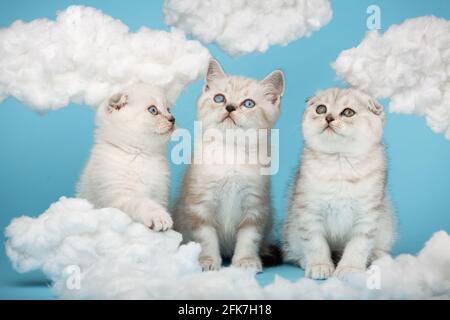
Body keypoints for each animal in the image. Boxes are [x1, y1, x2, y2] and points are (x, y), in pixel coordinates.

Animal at [77, 84, 176, 231]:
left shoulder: (161, 194)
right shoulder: (119, 196)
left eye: (168, 109)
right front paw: (160, 217)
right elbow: (142, 203)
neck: (141, 156)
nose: (172, 118)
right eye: (153, 110)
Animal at [173, 59, 284, 270]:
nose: (230, 107)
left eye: (248, 104)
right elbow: (206, 237)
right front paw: (207, 260)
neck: (230, 151)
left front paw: (246, 261)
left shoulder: (255, 205)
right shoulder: (200, 205)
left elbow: (249, 238)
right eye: (219, 98)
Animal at [284, 88, 396, 280]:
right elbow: (315, 243)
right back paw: (305, 261)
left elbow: (358, 246)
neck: (339, 162)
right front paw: (320, 265)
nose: (329, 117)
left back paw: (376, 257)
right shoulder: (308, 211)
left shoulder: (367, 215)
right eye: (321, 109)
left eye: (348, 112)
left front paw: (350, 268)